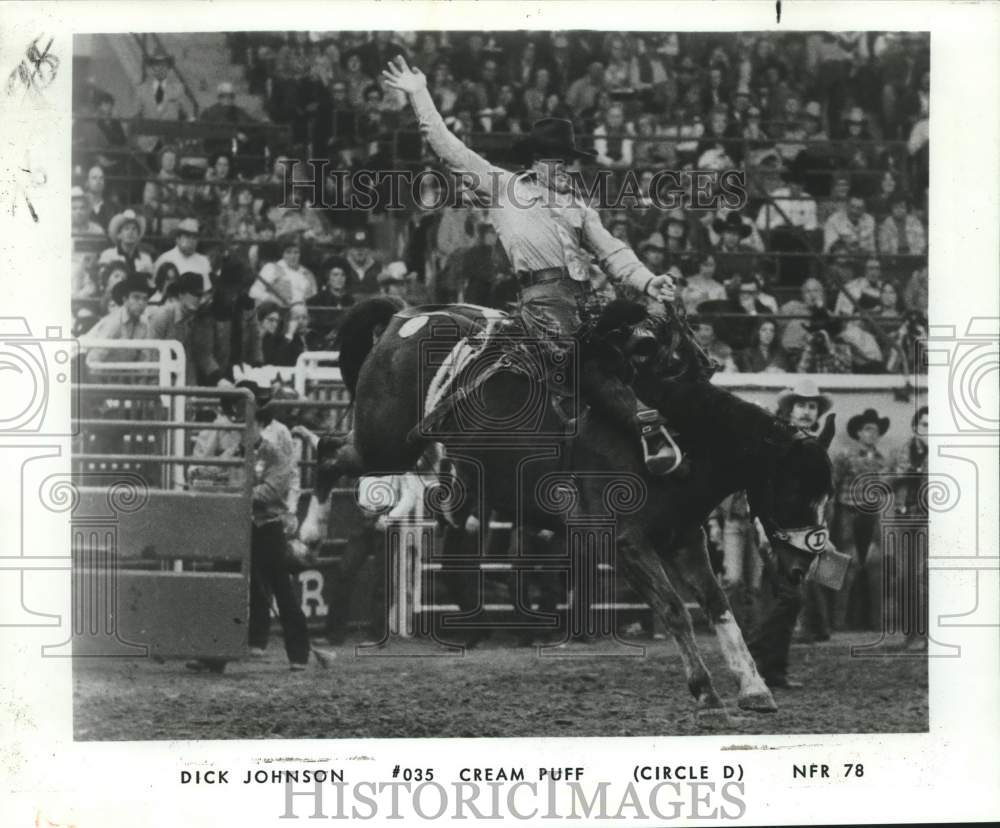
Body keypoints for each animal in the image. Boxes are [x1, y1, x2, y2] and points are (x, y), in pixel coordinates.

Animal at [302, 298, 836, 720]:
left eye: (826, 493)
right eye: (795, 489)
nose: (800, 568)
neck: (680, 438)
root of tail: (403, 317)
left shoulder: (683, 537)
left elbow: (718, 604)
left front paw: (754, 686)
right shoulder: (625, 540)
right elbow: (673, 609)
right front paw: (705, 691)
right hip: (385, 442)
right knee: (327, 452)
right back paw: (310, 533)